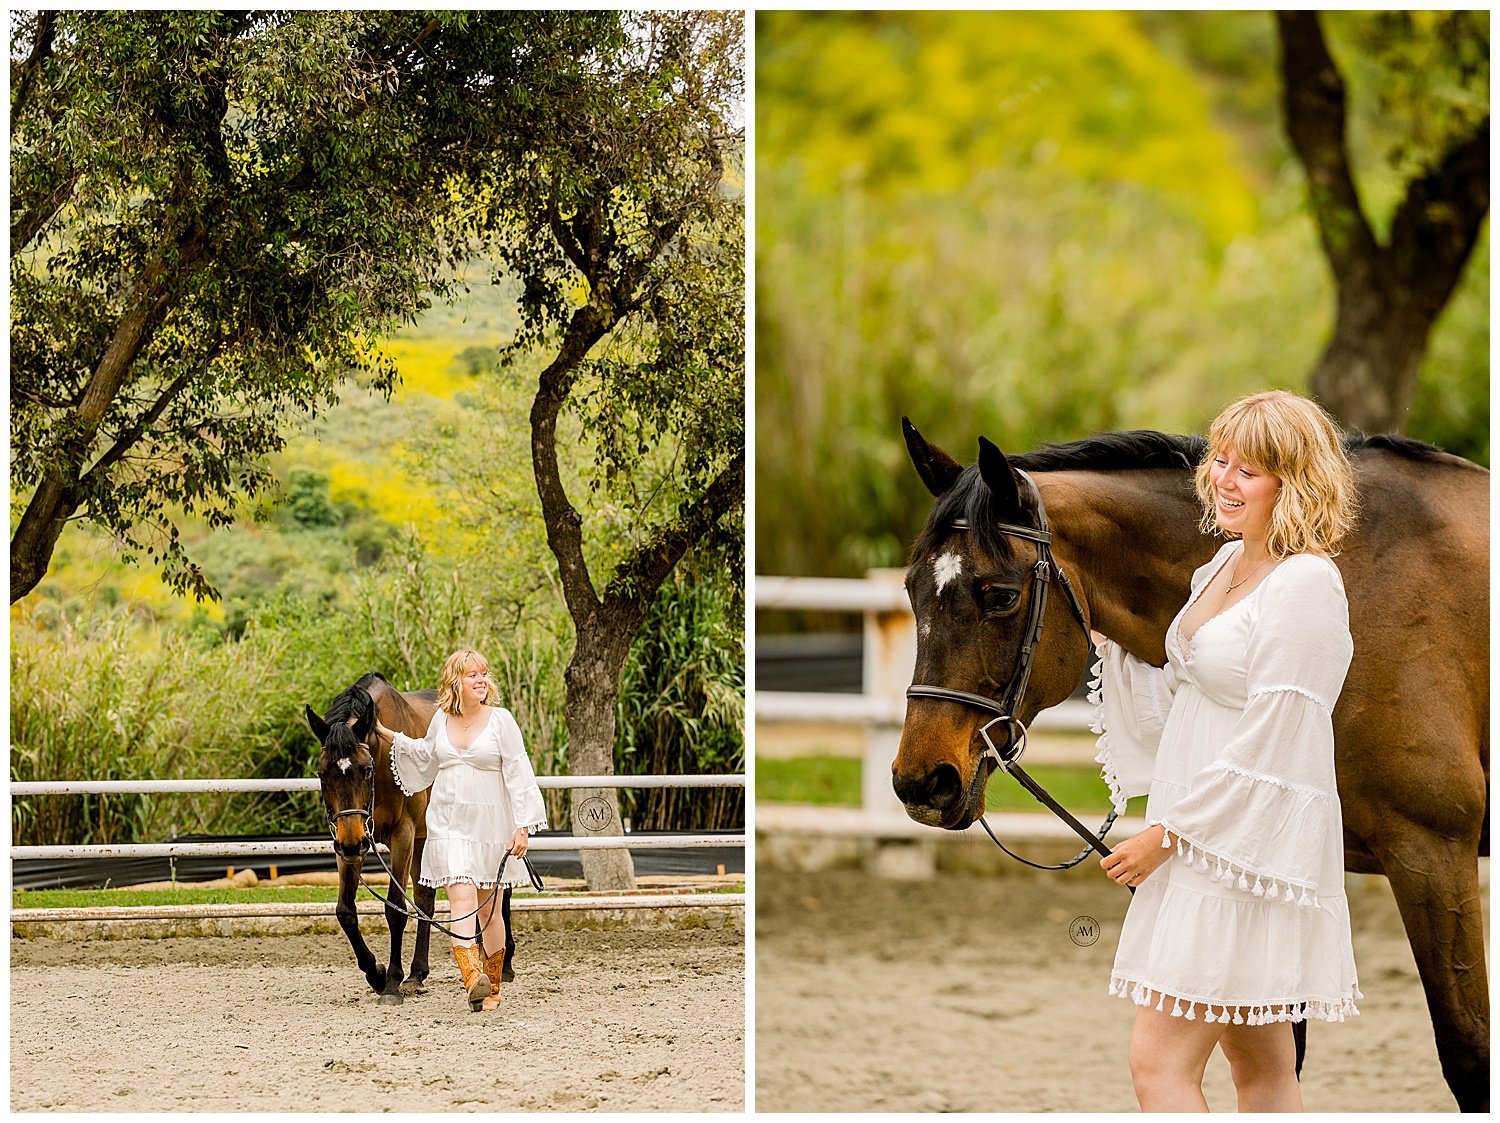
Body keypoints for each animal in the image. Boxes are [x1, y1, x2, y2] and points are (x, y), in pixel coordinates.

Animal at [306, 671, 438, 1001]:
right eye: (322, 773)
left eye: (365, 770)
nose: (352, 844)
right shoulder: (347, 840)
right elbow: (345, 911)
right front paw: (375, 973)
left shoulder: (402, 835)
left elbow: (395, 909)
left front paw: (391, 982)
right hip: (422, 840)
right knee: (425, 897)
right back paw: (417, 973)